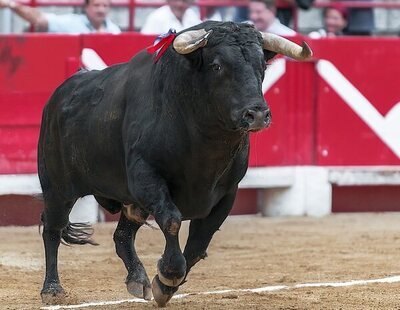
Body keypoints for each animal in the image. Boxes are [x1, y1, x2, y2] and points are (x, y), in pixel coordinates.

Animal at [36, 21, 312, 306]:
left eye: (262, 66)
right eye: (217, 65)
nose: (256, 114)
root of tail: (60, 95)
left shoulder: (227, 193)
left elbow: (200, 241)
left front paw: (164, 286)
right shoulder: (147, 178)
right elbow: (172, 220)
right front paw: (169, 275)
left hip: (130, 201)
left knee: (122, 234)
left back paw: (138, 279)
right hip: (57, 187)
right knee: (52, 229)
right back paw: (52, 289)